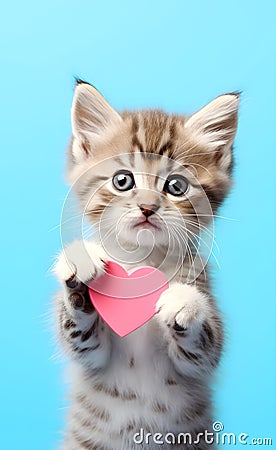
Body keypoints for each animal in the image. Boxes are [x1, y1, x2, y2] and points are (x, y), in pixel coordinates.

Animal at [52, 81, 238, 450]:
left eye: (176, 186)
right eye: (122, 181)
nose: (148, 207)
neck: (144, 260)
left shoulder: (201, 359)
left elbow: (207, 344)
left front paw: (184, 303)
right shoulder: (91, 354)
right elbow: (81, 336)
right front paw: (82, 275)